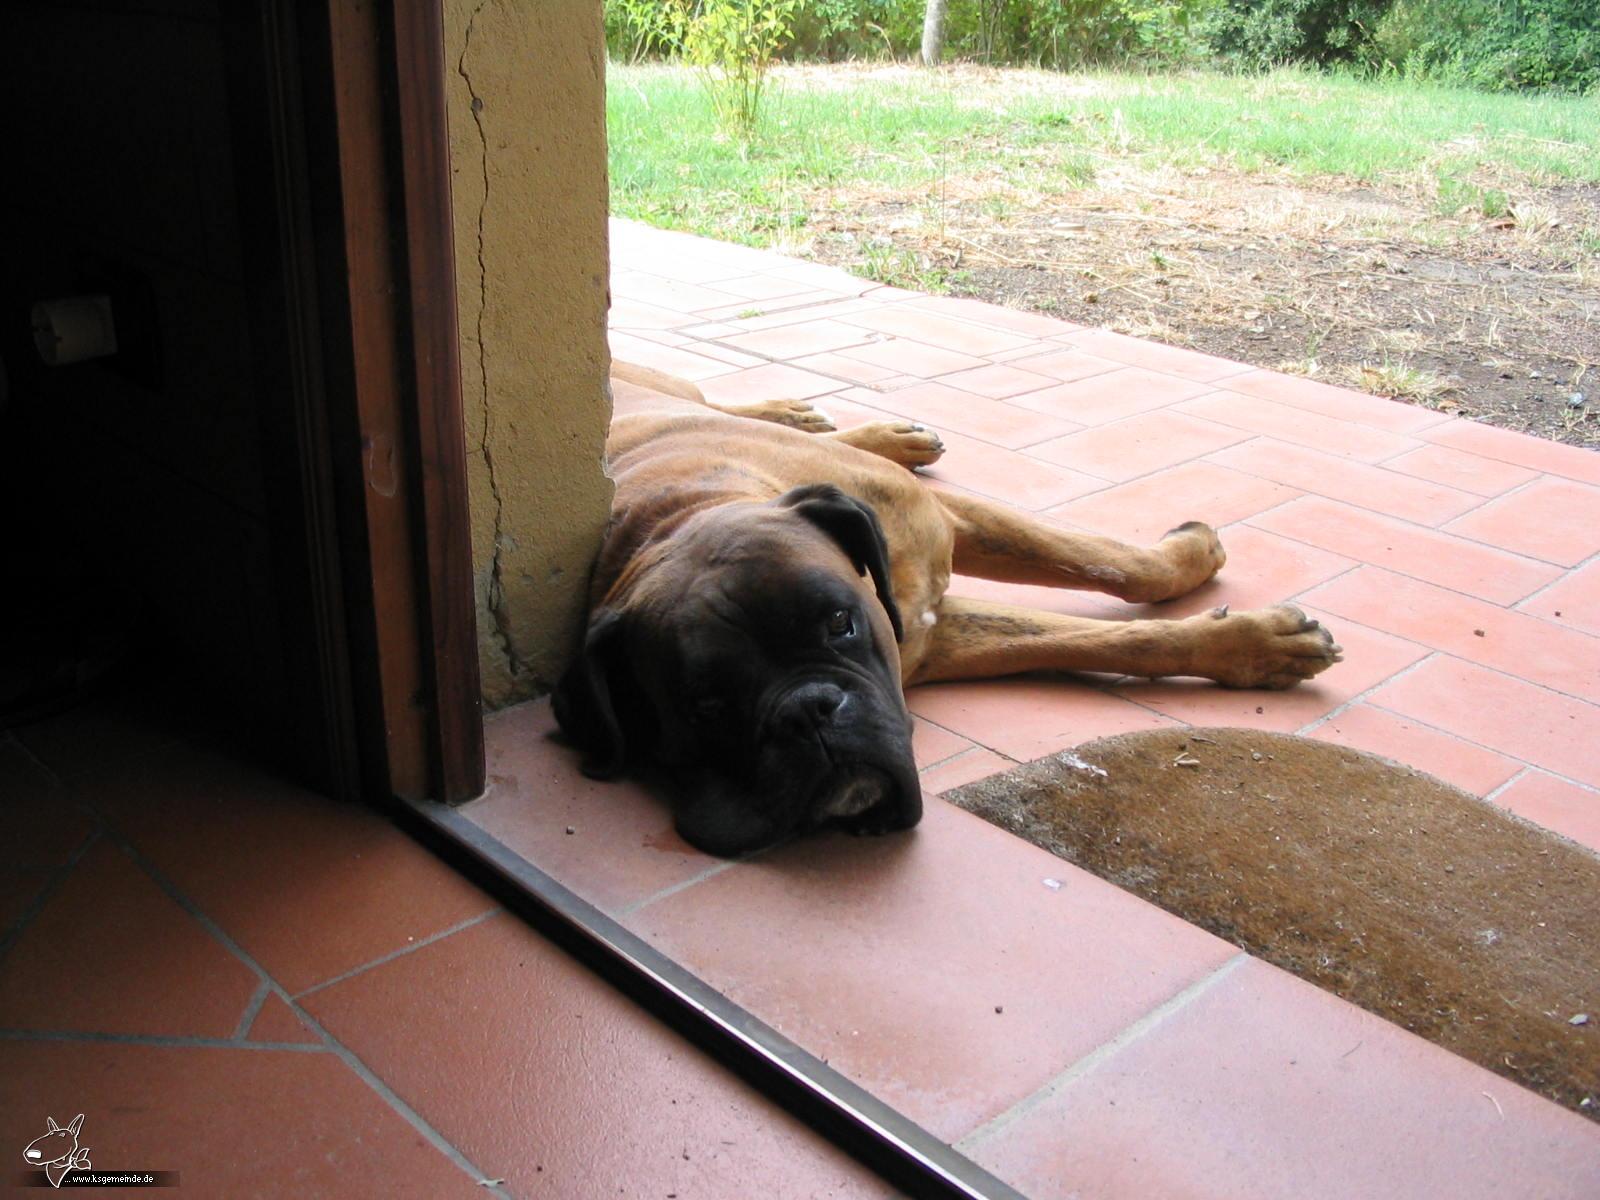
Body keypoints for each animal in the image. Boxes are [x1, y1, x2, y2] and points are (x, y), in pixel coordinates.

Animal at [556, 361, 1344, 857]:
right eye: (704, 708)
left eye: (840, 624)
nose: (809, 711)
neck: (691, 508)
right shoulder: (935, 641)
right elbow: (1089, 638)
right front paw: (1259, 644)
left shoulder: (947, 526)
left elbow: (1102, 563)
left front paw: (1229, 609)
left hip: (662, 384)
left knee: (709, 397)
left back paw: (842, 425)